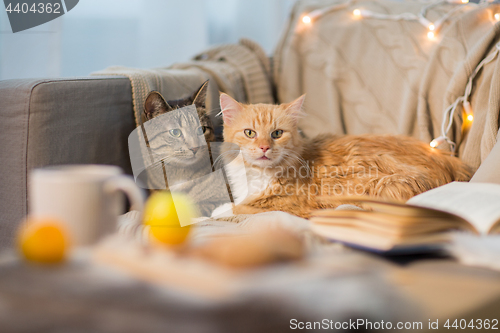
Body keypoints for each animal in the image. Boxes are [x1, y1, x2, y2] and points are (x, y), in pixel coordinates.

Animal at [220, 93, 472, 218]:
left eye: (277, 134)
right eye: (250, 133)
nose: (264, 147)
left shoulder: (293, 207)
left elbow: (238, 207)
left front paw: (219, 210)